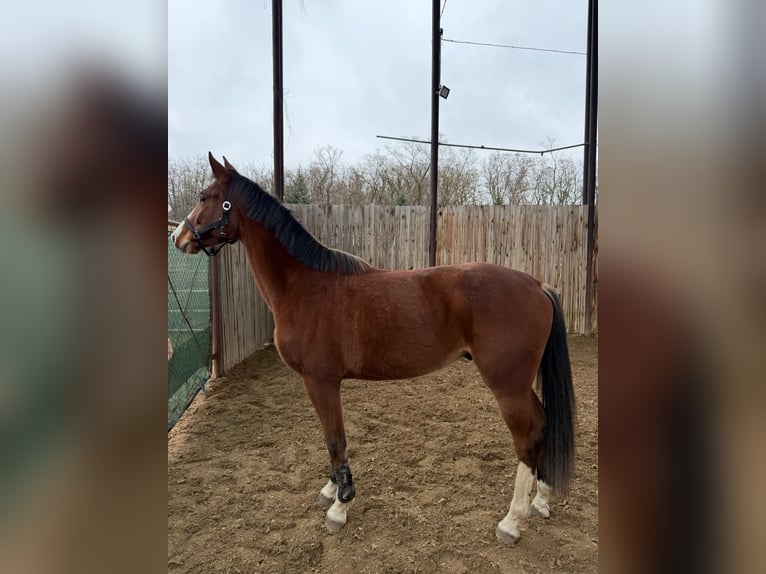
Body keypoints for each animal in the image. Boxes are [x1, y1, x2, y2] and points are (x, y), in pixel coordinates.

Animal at [171, 153, 575, 545]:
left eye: (204, 197)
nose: (178, 237)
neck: (306, 287)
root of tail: (536, 284)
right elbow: (329, 437)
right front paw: (331, 488)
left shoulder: (320, 381)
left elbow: (335, 438)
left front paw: (340, 504)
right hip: (520, 386)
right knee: (542, 425)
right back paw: (540, 499)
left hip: (507, 387)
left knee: (526, 439)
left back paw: (511, 521)